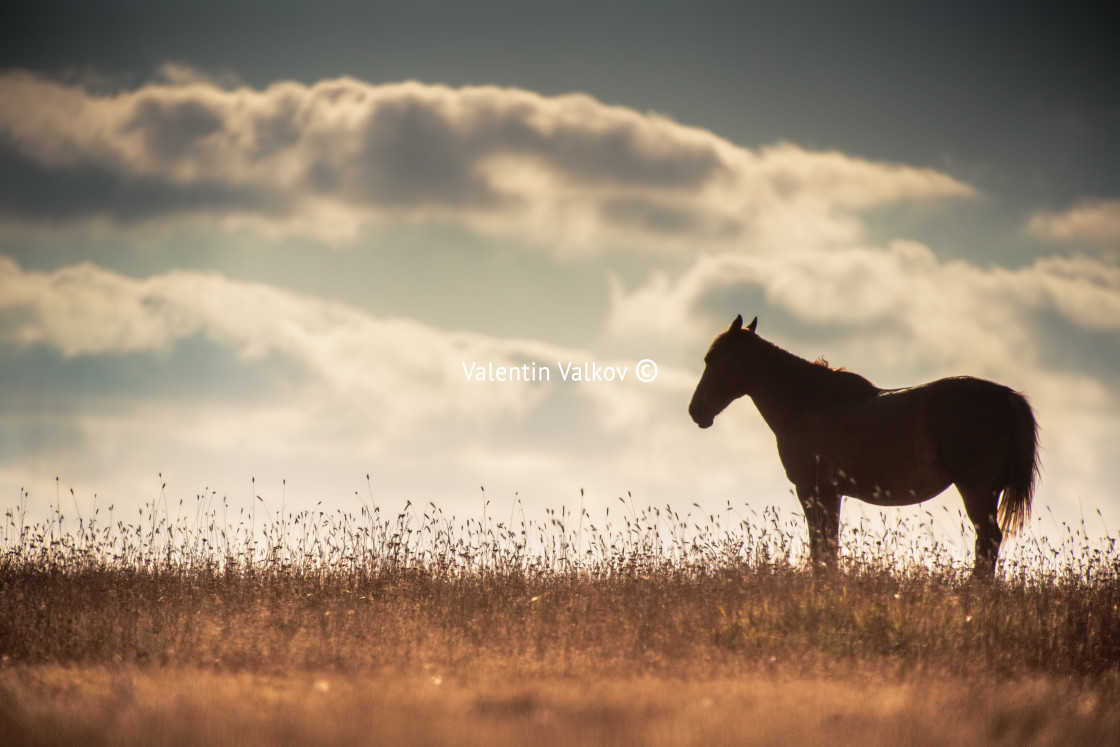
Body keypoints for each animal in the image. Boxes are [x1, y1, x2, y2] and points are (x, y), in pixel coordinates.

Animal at [689, 313, 1039, 577]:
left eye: (712, 359)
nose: (696, 411)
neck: (805, 400)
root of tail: (1007, 396)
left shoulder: (812, 489)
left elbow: (821, 545)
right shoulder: (831, 493)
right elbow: (828, 544)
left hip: (975, 488)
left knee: (988, 539)